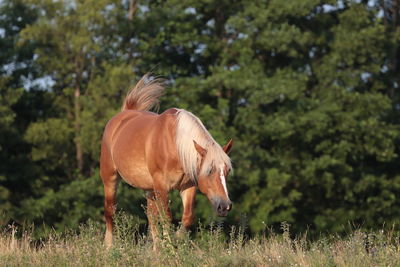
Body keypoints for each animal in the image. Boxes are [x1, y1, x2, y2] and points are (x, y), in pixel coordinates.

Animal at [98, 74, 233, 249]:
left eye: (227, 171)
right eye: (210, 171)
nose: (225, 206)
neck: (175, 145)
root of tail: (125, 114)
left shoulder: (188, 186)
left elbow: (187, 216)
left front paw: (175, 240)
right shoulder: (162, 186)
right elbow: (167, 217)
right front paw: (170, 246)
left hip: (149, 188)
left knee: (151, 216)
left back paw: (155, 248)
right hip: (110, 178)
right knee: (110, 211)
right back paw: (109, 247)